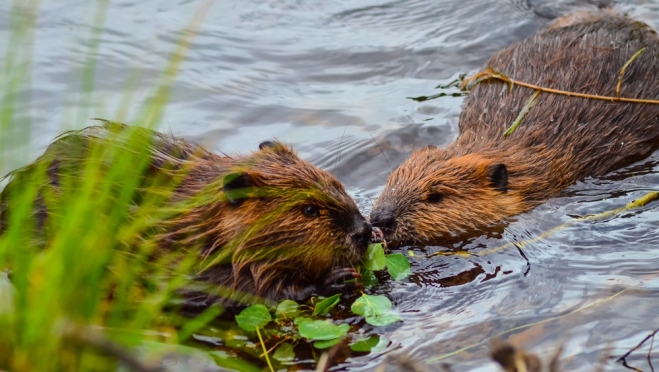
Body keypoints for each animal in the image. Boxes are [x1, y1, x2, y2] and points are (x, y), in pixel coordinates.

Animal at [0, 120, 372, 306]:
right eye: (309, 209)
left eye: (336, 182)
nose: (363, 231)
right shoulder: (176, 259)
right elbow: (238, 291)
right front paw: (334, 278)